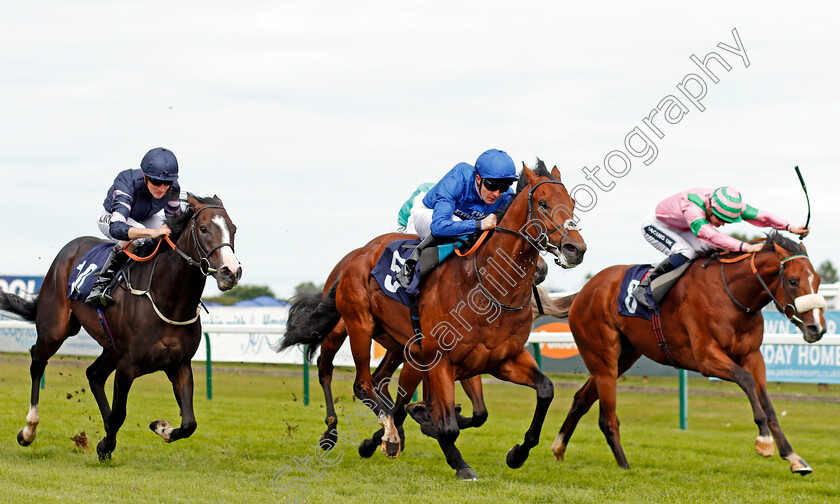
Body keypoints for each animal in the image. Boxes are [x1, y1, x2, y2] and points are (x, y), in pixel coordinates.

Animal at [0, 196, 243, 460]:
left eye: (233, 229)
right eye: (204, 228)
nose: (231, 271)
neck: (168, 301)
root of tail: (69, 249)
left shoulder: (179, 364)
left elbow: (189, 423)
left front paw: (160, 427)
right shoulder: (128, 365)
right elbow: (119, 414)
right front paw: (106, 444)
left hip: (111, 348)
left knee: (94, 375)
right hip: (55, 329)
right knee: (38, 360)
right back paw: (29, 430)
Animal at [280, 162, 584, 480]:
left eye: (572, 203)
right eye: (543, 203)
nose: (575, 248)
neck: (487, 287)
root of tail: (358, 256)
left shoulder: (501, 359)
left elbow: (544, 390)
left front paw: (517, 453)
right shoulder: (440, 360)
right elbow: (446, 425)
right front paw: (458, 461)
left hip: (397, 345)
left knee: (380, 383)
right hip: (355, 325)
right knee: (348, 378)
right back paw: (345, 433)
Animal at [552, 231, 828, 472]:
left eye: (818, 280)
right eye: (793, 281)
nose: (817, 328)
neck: (731, 296)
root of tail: (585, 290)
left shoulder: (752, 356)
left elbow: (767, 402)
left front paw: (793, 456)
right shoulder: (707, 359)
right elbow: (747, 381)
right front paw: (764, 441)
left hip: (623, 357)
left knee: (581, 399)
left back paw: (559, 449)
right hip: (603, 357)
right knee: (607, 418)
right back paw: (624, 466)